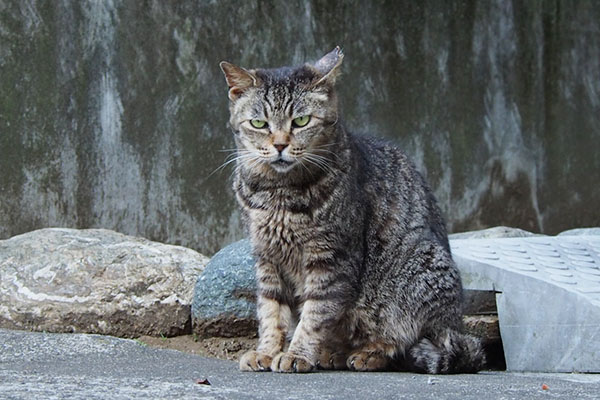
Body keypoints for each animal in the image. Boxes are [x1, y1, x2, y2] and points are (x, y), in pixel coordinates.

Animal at [218, 47, 486, 376]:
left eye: (301, 121)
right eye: (259, 124)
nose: (280, 145)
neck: (278, 193)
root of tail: (457, 325)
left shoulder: (331, 259)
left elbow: (314, 314)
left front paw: (296, 354)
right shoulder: (267, 258)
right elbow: (271, 312)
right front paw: (267, 351)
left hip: (417, 277)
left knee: (404, 339)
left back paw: (368, 353)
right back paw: (332, 353)